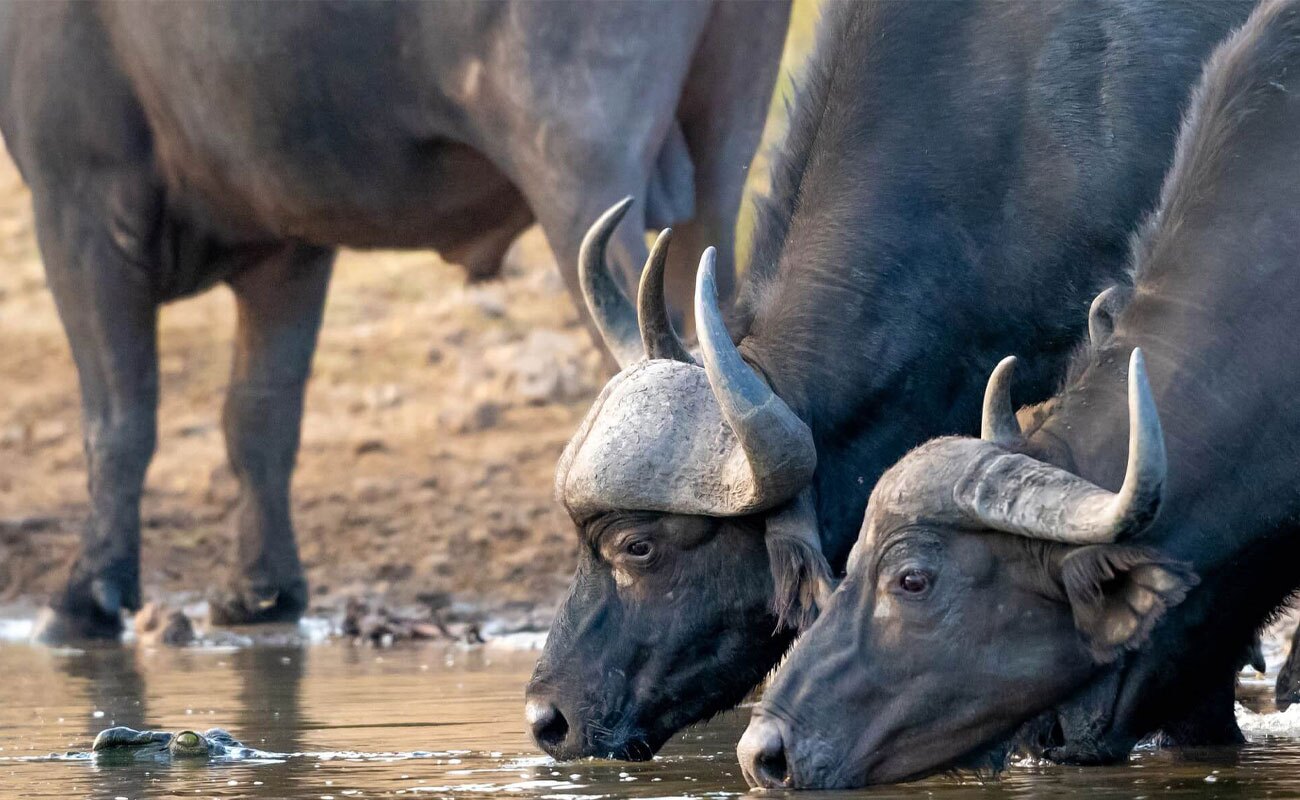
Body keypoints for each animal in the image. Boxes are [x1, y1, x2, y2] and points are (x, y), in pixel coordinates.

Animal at [0, 0, 790, 637]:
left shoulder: (79, 202)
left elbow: (118, 416)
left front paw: (86, 596)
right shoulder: (289, 246)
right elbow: (259, 417)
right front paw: (261, 592)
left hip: (577, 162)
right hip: (719, 156)